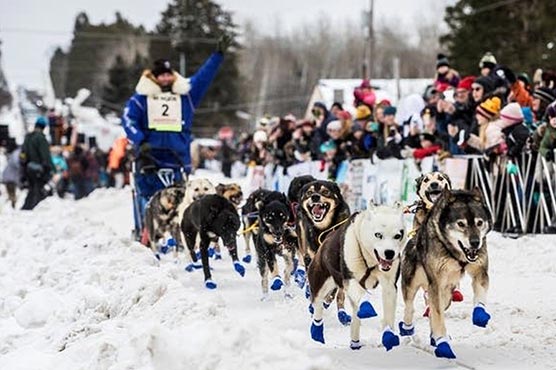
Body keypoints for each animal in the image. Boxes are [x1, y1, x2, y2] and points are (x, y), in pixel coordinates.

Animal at [306, 202, 406, 350]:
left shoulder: (390, 286)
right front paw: (366, 305)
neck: (370, 261)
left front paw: (388, 334)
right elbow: (361, 296)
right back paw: (316, 332)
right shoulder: (351, 280)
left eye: (398, 235)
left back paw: (355, 342)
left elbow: (388, 315)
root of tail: (325, 241)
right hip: (320, 282)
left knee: (354, 316)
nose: (389, 253)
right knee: (318, 306)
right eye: (378, 235)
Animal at [398, 188, 494, 358]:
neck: (456, 253)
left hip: (447, 294)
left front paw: (480, 315)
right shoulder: (435, 283)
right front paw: (443, 343)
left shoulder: (480, 271)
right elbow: (437, 316)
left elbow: (480, 297)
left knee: (433, 311)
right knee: (410, 308)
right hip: (412, 283)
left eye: (479, 222)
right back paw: (408, 329)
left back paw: (433, 337)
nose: (475, 242)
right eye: (461, 224)